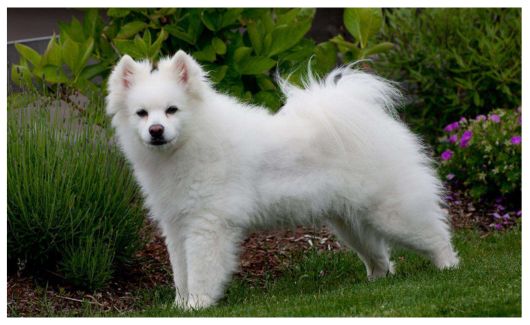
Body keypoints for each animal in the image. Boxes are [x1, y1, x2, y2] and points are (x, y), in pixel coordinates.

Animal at [106, 50, 458, 308]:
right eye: (142, 114)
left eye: (172, 110)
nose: (156, 131)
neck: (190, 143)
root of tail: (374, 121)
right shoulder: (177, 226)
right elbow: (181, 273)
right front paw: (180, 305)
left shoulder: (207, 226)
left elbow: (201, 272)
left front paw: (198, 305)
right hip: (350, 223)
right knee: (380, 257)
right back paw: (376, 282)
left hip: (393, 214)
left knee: (436, 236)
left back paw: (449, 268)